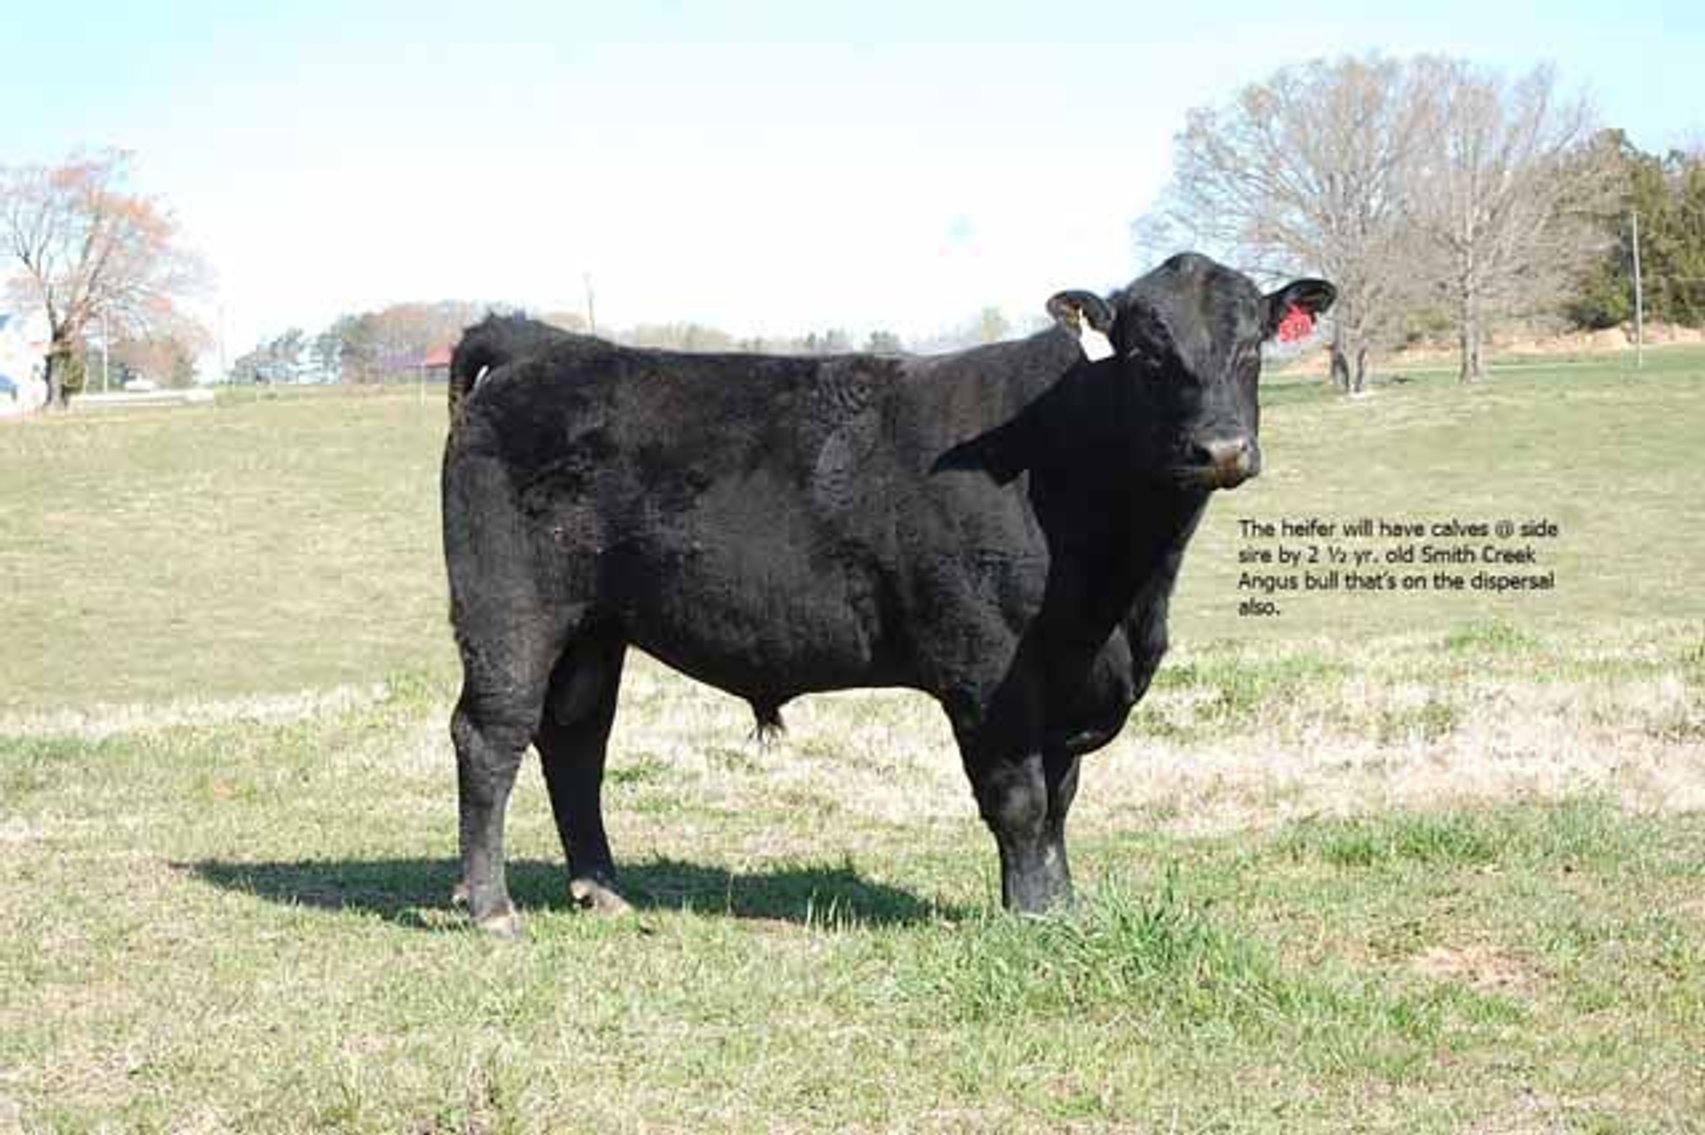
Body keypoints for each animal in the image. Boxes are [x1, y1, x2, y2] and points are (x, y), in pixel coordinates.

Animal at [442, 253, 1335, 935]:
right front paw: (1028, 916)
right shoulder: (990, 673)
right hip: (511, 611)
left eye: (1252, 346)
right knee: (491, 735)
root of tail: (541, 343)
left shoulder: (1070, 679)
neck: (1124, 600)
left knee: (575, 740)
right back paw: (492, 908)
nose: (1221, 448)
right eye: (1147, 354)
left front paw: (1063, 907)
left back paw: (602, 889)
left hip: (595, 626)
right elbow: (1020, 800)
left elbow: (1061, 800)